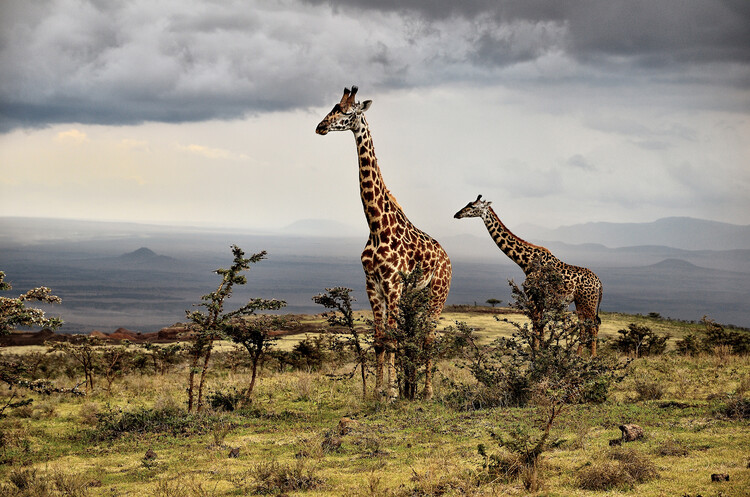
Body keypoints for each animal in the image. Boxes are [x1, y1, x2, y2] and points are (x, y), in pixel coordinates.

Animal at [316, 86, 452, 400]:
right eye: (333, 107)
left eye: (347, 112)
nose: (321, 126)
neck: (376, 225)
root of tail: (447, 257)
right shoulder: (373, 285)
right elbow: (380, 339)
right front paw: (378, 391)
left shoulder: (392, 284)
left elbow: (391, 338)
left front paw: (390, 394)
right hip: (415, 297)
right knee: (415, 334)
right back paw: (412, 389)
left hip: (437, 294)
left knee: (429, 337)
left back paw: (427, 393)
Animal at [454, 195, 603, 355]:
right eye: (468, 203)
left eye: (473, 206)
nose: (457, 214)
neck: (526, 262)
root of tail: (600, 284)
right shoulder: (540, 300)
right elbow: (541, 327)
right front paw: (542, 352)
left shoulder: (533, 296)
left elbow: (536, 326)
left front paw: (536, 354)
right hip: (580, 302)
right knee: (584, 326)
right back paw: (577, 355)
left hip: (588, 302)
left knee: (593, 326)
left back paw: (592, 357)